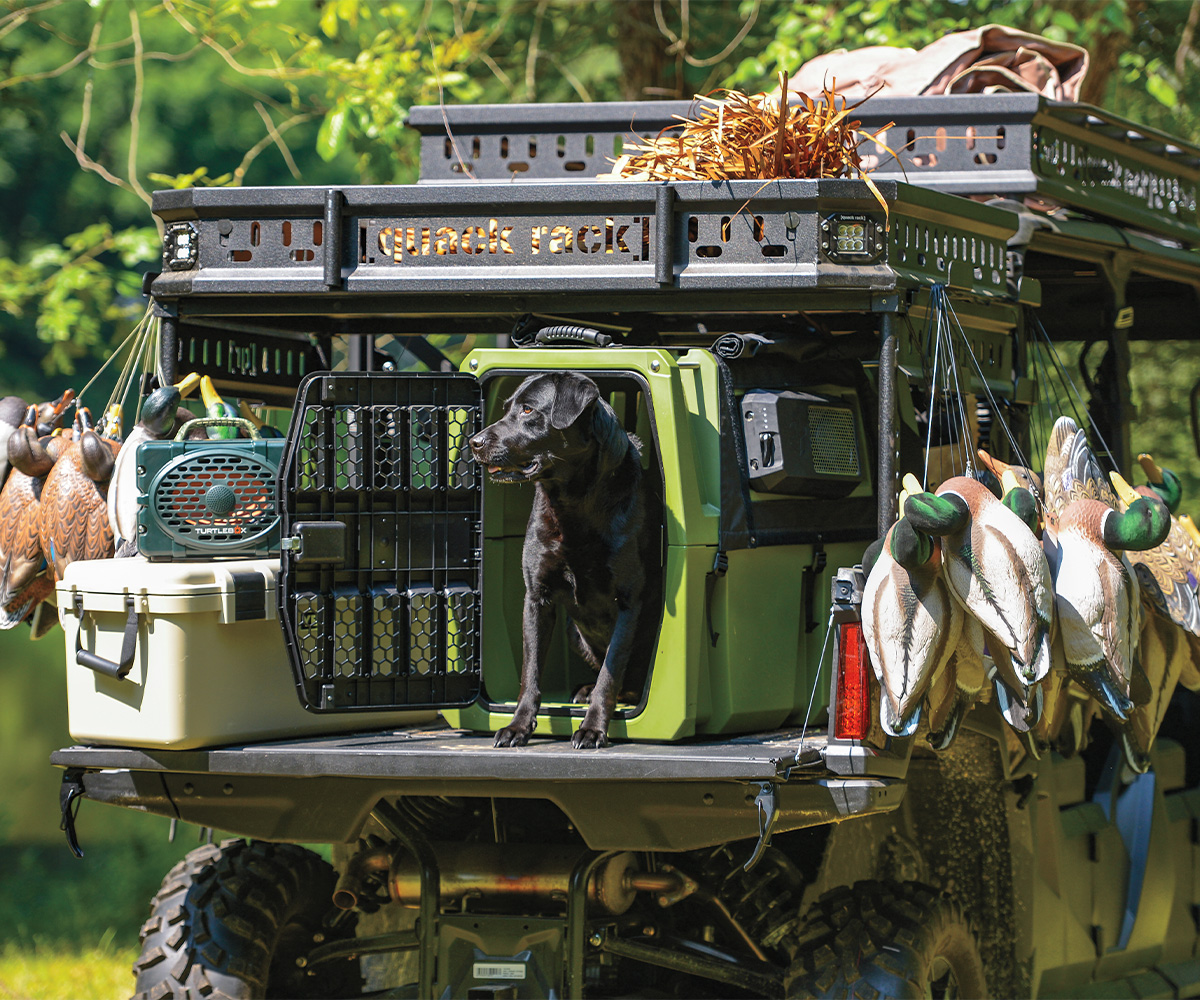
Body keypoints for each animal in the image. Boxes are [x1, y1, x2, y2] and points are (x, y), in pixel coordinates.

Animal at [468, 369, 657, 744]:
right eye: (507, 408)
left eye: (528, 410)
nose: (474, 442)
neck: (573, 501)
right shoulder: (536, 598)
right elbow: (530, 673)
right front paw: (517, 726)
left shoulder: (629, 601)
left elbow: (611, 674)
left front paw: (593, 728)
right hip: (574, 630)